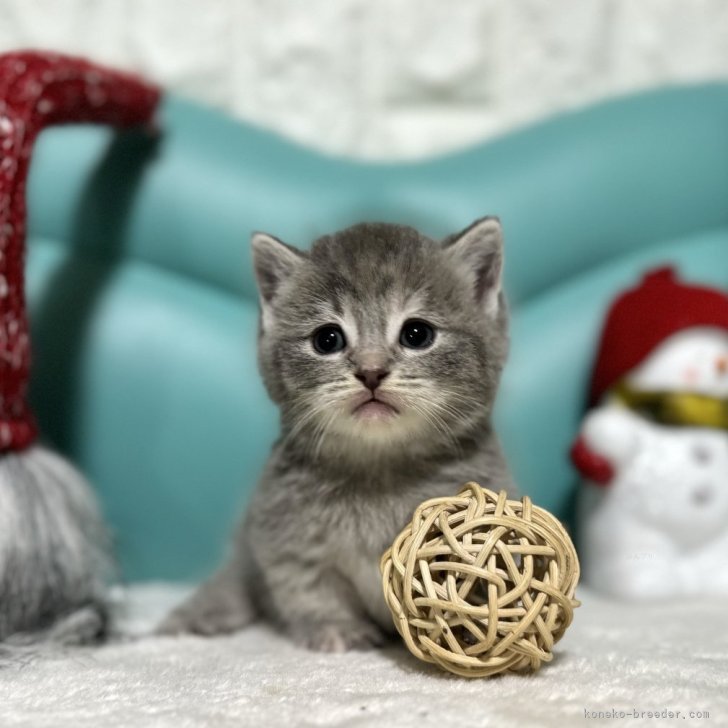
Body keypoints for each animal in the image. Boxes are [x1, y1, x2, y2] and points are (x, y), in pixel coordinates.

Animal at [159, 218, 512, 656]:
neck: (380, 474)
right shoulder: (287, 543)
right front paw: (337, 627)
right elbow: (311, 592)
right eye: (327, 339)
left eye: (417, 333)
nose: (371, 371)